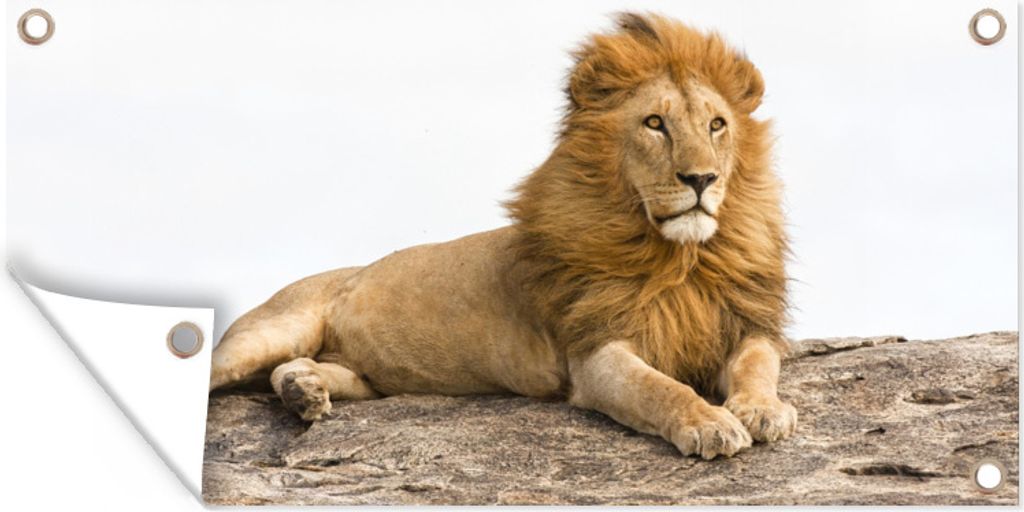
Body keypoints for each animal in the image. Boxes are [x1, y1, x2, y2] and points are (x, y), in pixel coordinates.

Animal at [209, 12, 795, 460]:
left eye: (717, 125)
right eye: (655, 123)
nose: (701, 179)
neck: (682, 258)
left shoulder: (744, 324)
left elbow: (759, 364)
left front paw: (763, 410)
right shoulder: (596, 352)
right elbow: (660, 388)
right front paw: (709, 423)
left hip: (367, 379)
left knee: (303, 370)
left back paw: (303, 392)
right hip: (269, 331)